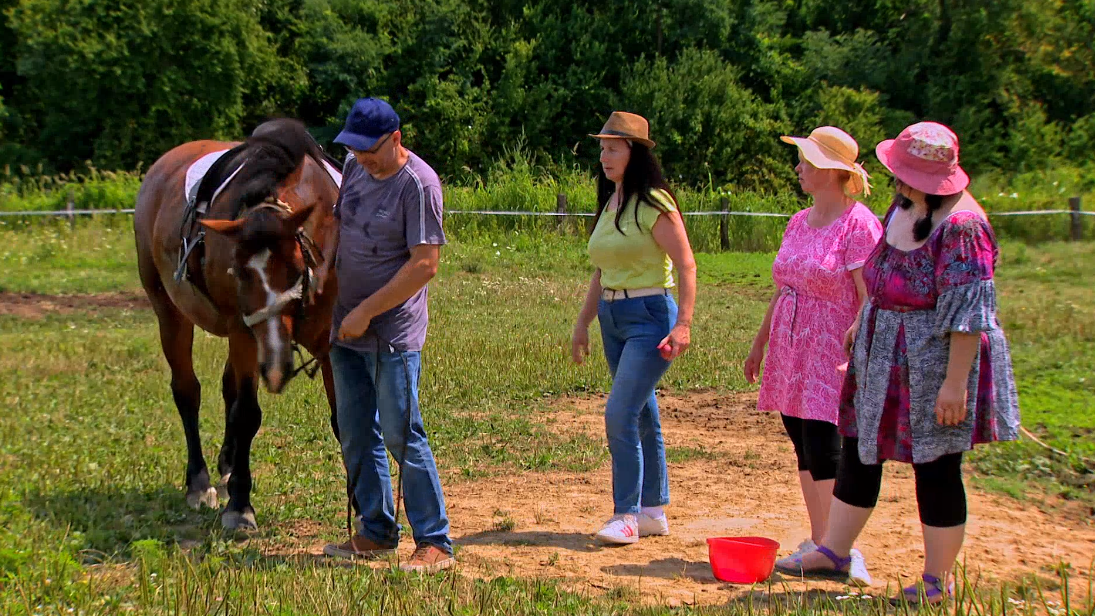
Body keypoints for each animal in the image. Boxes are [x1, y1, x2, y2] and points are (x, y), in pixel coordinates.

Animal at [135, 119, 341, 529]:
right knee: (188, 391)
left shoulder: (330, 338)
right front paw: (240, 506)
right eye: (239, 272)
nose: (275, 362)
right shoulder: (242, 330)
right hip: (170, 312)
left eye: (296, 267)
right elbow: (246, 413)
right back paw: (199, 483)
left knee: (228, 390)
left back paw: (228, 463)